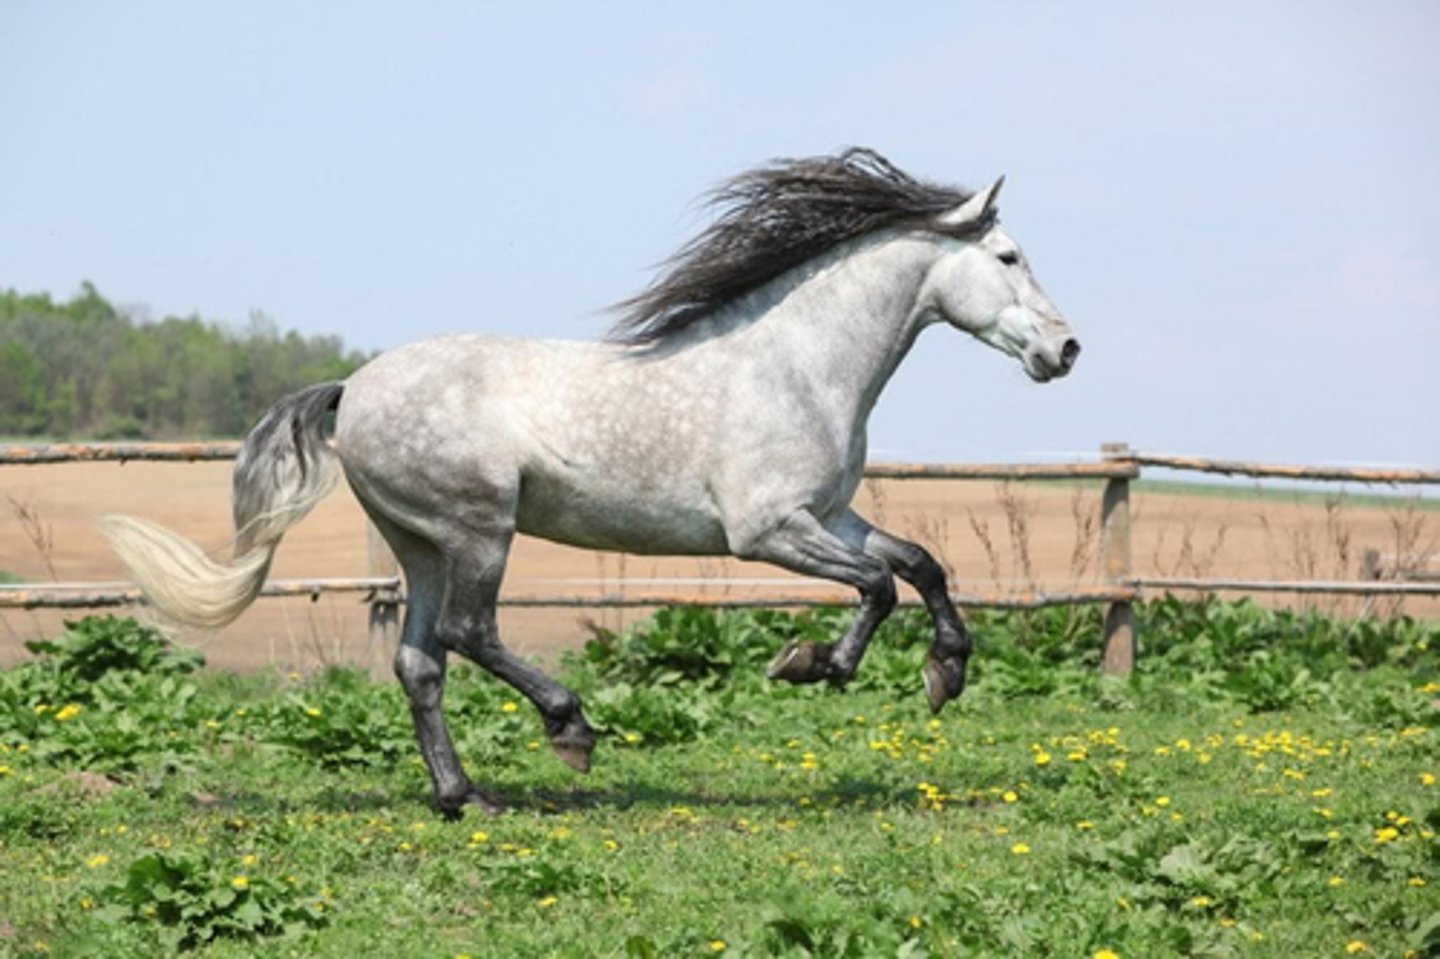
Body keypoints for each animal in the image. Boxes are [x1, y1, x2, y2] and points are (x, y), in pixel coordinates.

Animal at [105, 148, 1080, 816]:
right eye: (1008, 257)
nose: (1065, 349)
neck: (795, 365)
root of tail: (356, 385)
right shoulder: (766, 530)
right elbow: (879, 583)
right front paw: (812, 665)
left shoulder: (828, 514)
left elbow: (919, 564)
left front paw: (945, 672)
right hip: (478, 529)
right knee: (468, 632)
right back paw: (569, 730)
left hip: (420, 544)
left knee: (420, 659)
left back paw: (466, 795)